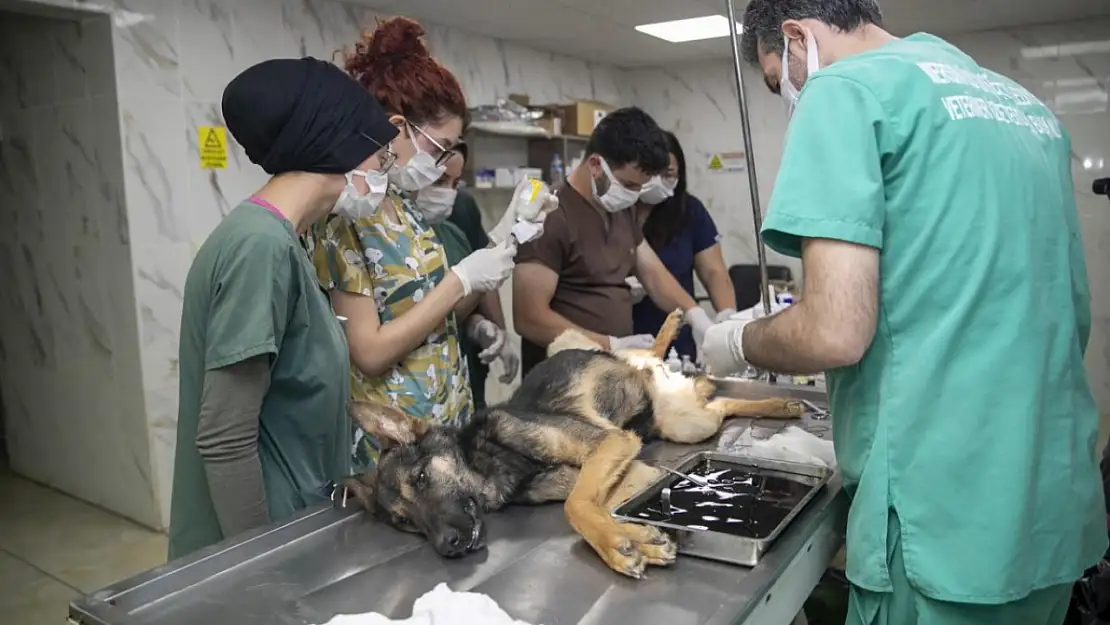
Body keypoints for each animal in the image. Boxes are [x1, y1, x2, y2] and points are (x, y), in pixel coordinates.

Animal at [341, 310, 803, 581]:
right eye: (405, 522)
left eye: (421, 478)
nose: (447, 546)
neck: (490, 461)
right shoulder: (631, 471)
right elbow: (591, 506)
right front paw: (635, 537)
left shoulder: (611, 442)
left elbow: (574, 507)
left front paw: (616, 545)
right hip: (684, 423)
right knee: (717, 400)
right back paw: (771, 400)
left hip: (610, 371)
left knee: (646, 353)